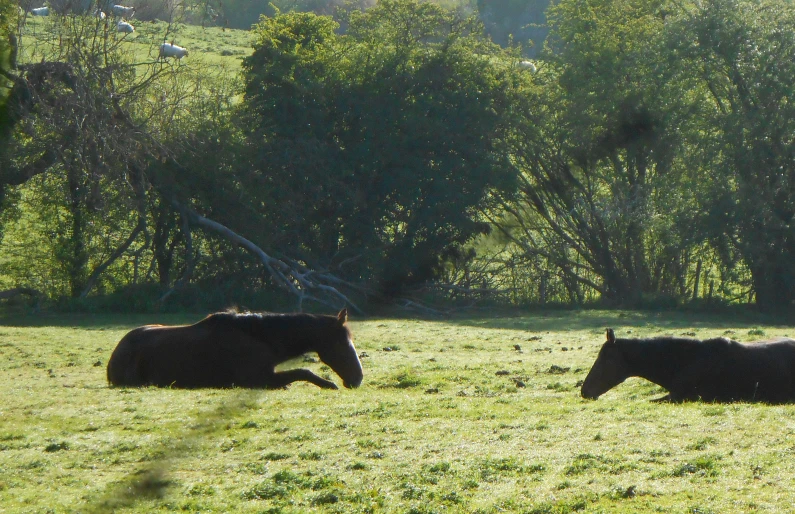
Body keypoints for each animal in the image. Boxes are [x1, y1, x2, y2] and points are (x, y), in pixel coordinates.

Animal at [107, 308, 362, 388]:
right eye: (341, 343)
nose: (357, 378)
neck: (259, 337)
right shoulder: (257, 380)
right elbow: (302, 371)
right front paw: (328, 384)